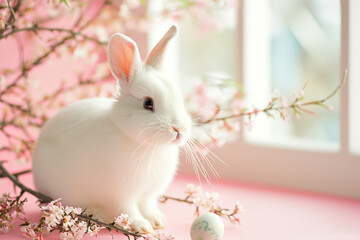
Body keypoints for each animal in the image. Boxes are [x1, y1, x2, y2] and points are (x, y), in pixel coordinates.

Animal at [32, 25, 193, 233]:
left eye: (178, 97)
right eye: (148, 103)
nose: (179, 129)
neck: (144, 144)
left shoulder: (148, 194)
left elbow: (148, 206)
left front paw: (157, 221)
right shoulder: (121, 194)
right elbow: (128, 211)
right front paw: (142, 227)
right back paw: (99, 214)